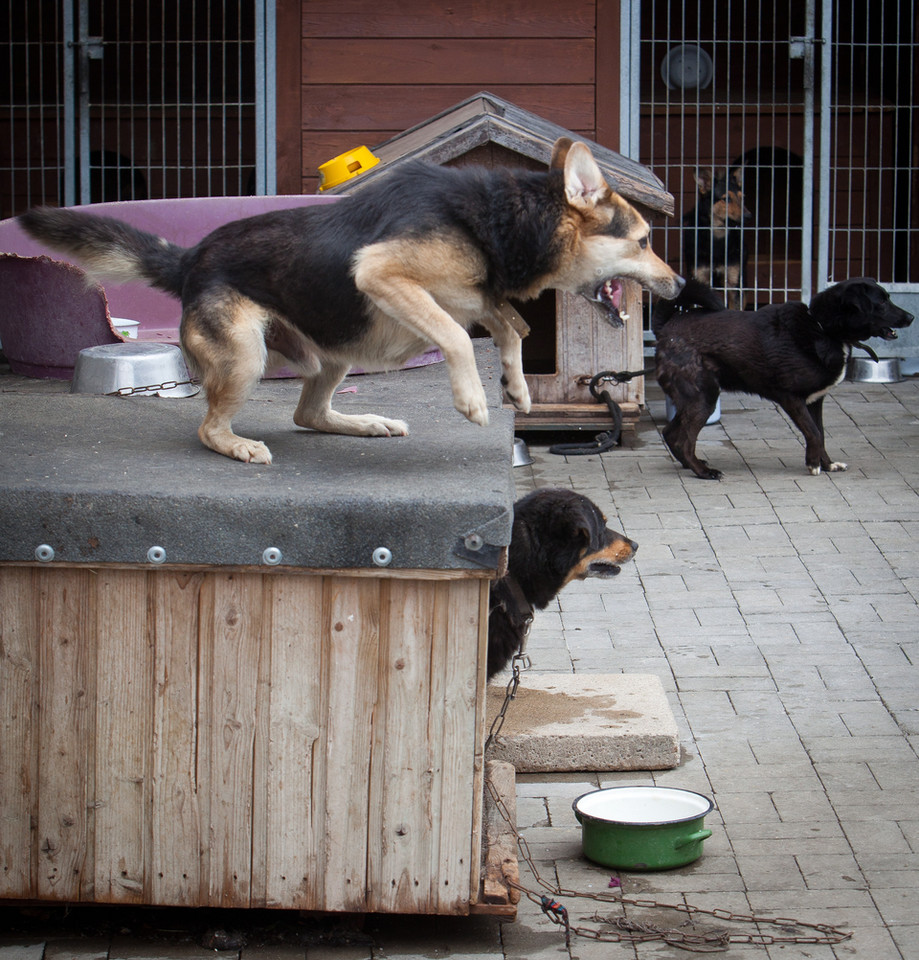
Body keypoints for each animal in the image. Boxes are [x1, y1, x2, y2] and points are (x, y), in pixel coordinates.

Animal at [19, 137, 684, 464]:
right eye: (645, 241)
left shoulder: (475, 294)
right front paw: (473, 398)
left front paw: (518, 387)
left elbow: (509, 325)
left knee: (307, 414)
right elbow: (455, 334)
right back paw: (237, 444)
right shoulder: (382, 273)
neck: (500, 220)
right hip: (246, 355)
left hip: (332, 354)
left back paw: (364, 422)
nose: (679, 287)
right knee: (210, 427)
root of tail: (191, 260)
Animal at [656, 276, 912, 478]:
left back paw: (691, 464)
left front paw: (827, 464)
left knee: (670, 433)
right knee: (683, 440)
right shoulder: (792, 398)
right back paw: (703, 472)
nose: (911, 317)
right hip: (704, 397)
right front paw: (813, 464)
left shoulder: (815, 401)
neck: (822, 327)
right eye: (881, 302)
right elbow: (814, 433)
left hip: (697, 399)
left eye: (888, 298)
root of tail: (668, 325)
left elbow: (820, 433)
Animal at [680, 167, 752, 310]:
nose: (748, 216)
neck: (718, 237)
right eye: (726, 199)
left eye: (742, 198)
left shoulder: (733, 284)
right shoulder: (700, 279)